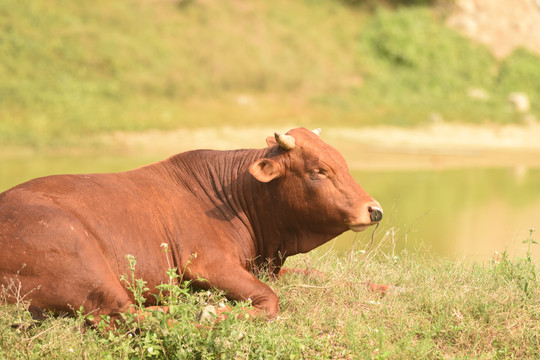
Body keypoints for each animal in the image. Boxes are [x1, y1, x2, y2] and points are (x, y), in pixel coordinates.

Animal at [0, 129, 382, 324]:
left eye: (343, 162)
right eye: (318, 170)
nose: (374, 210)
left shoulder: (261, 265)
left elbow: (321, 276)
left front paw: (384, 288)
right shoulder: (206, 263)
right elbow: (271, 302)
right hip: (80, 253)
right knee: (123, 314)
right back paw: (200, 308)